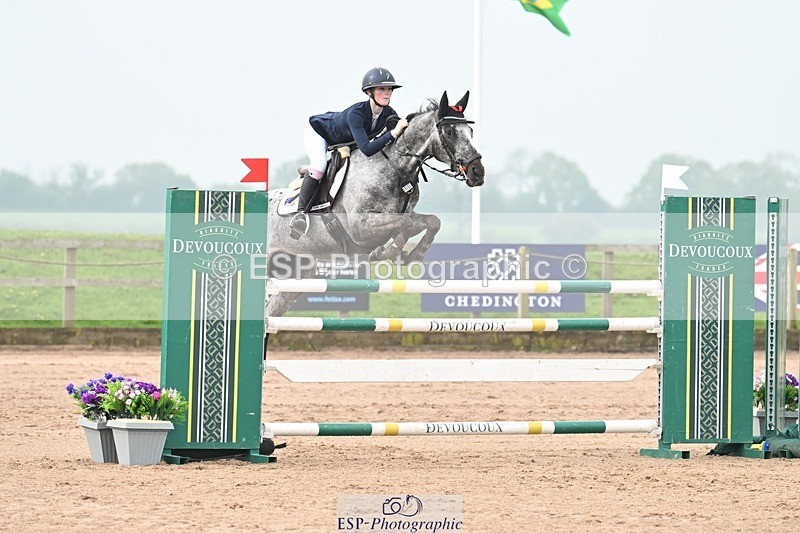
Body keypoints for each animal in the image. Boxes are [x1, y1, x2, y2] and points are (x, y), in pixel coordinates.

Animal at [265, 90, 485, 318]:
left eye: (470, 131)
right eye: (450, 132)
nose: (477, 172)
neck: (396, 169)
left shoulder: (402, 216)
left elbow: (431, 221)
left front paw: (411, 255)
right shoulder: (360, 227)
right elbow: (405, 224)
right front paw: (388, 252)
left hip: (295, 276)